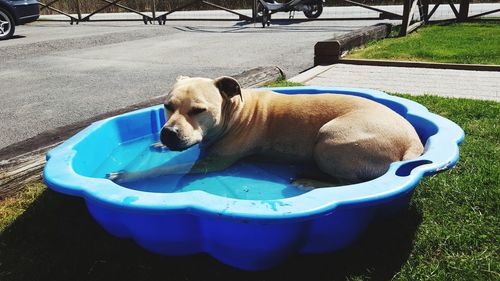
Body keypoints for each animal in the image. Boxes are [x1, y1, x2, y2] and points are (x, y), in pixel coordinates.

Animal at [107, 75, 424, 185]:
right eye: (167, 106)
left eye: (198, 110)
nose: (167, 133)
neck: (235, 111)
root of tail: (413, 142)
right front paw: (159, 145)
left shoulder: (211, 164)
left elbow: (165, 169)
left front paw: (128, 176)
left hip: (330, 139)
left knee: (349, 182)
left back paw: (312, 181)